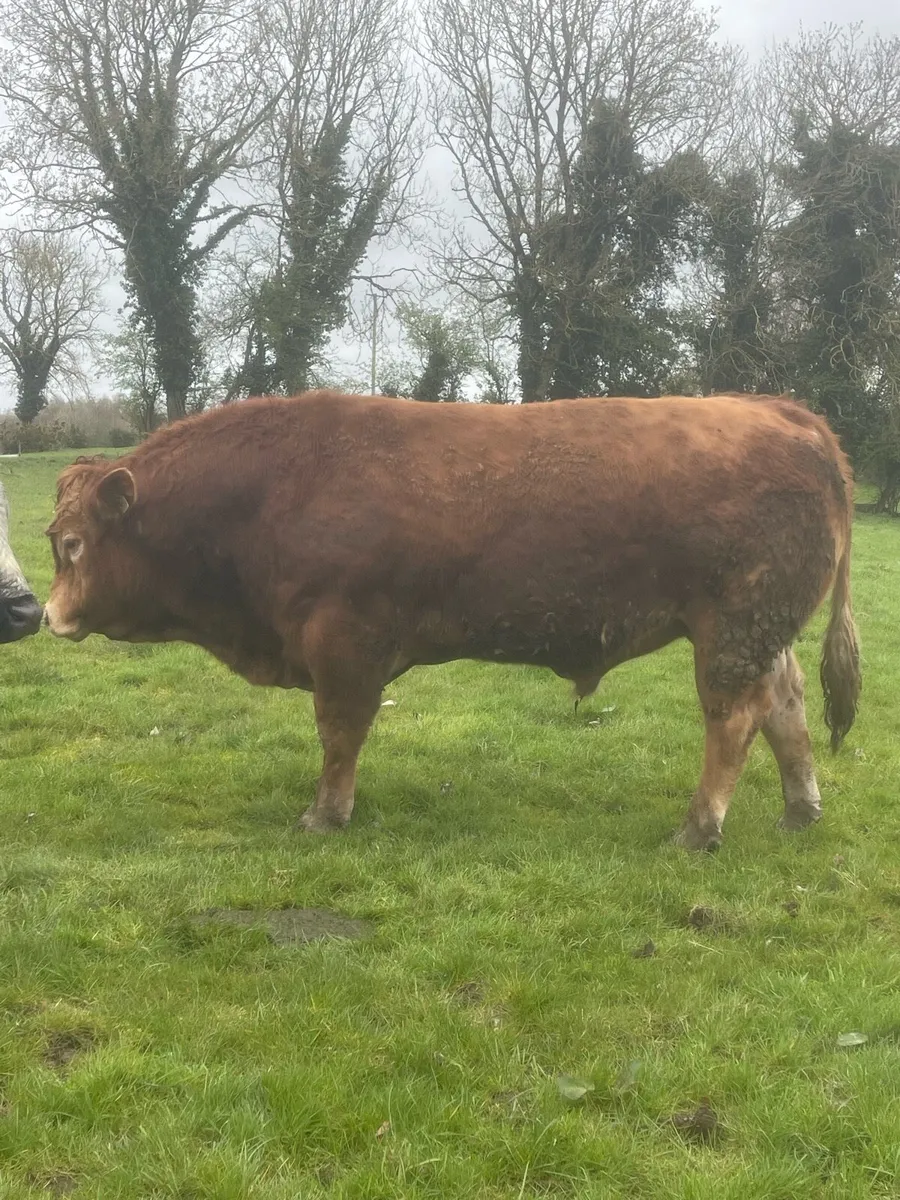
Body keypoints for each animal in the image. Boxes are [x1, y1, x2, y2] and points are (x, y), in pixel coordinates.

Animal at [43, 390, 860, 850]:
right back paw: (801, 811)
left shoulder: (345, 643)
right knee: (785, 707)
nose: (48, 616)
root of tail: (778, 409)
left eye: (73, 543)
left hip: (734, 627)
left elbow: (340, 735)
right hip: (761, 631)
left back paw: (699, 828)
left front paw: (326, 816)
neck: (271, 490)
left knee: (734, 719)